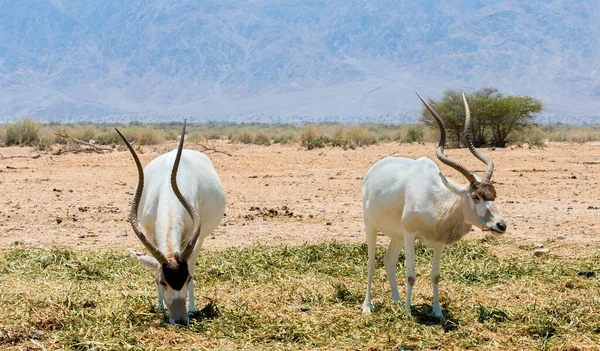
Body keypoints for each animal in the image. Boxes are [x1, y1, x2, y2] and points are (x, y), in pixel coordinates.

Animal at [116, 122, 226, 326]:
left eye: (187, 279)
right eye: (162, 282)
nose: (180, 320)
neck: (168, 192)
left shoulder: (190, 238)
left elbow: (191, 266)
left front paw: (191, 310)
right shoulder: (150, 233)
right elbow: (155, 268)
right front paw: (160, 307)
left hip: (201, 238)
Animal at [360, 93, 506, 320]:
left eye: (494, 194)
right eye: (475, 196)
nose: (501, 225)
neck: (437, 200)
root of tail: (374, 170)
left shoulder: (438, 242)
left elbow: (435, 276)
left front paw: (437, 312)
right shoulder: (411, 234)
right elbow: (411, 275)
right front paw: (409, 312)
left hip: (397, 234)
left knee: (389, 261)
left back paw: (397, 301)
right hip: (372, 227)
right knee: (371, 263)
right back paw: (368, 306)